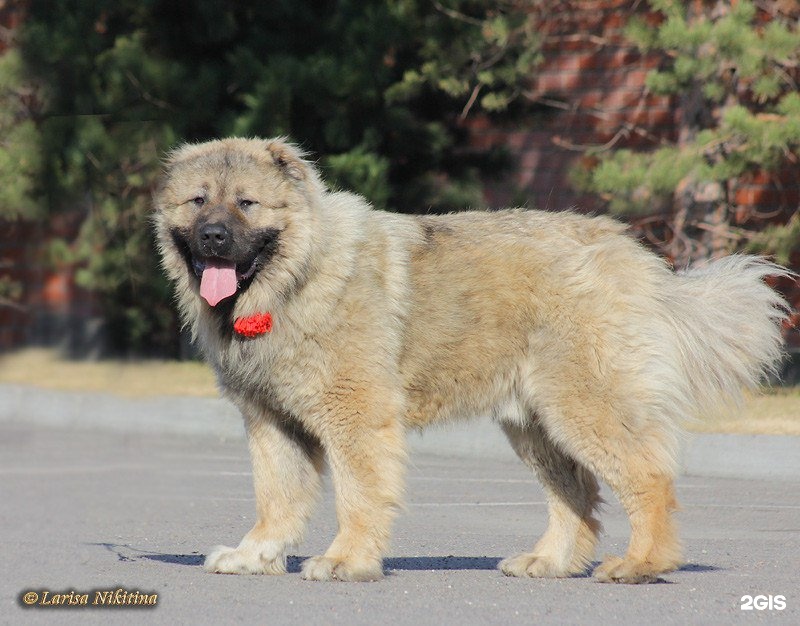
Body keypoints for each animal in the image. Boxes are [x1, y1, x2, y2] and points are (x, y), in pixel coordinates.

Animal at [153, 135, 792, 580]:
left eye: (247, 203)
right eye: (198, 201)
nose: (212, 236)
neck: (291, 282)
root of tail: (636, 258)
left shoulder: (354, 419)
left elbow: (358, 497)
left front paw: (346, 561)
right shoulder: (271, 422)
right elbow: (277, 499)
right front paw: (255, 555)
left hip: (584, 409)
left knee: (648, 480)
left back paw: (641, 565)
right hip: (536, 425)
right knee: (577, 499)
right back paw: (549, 562)